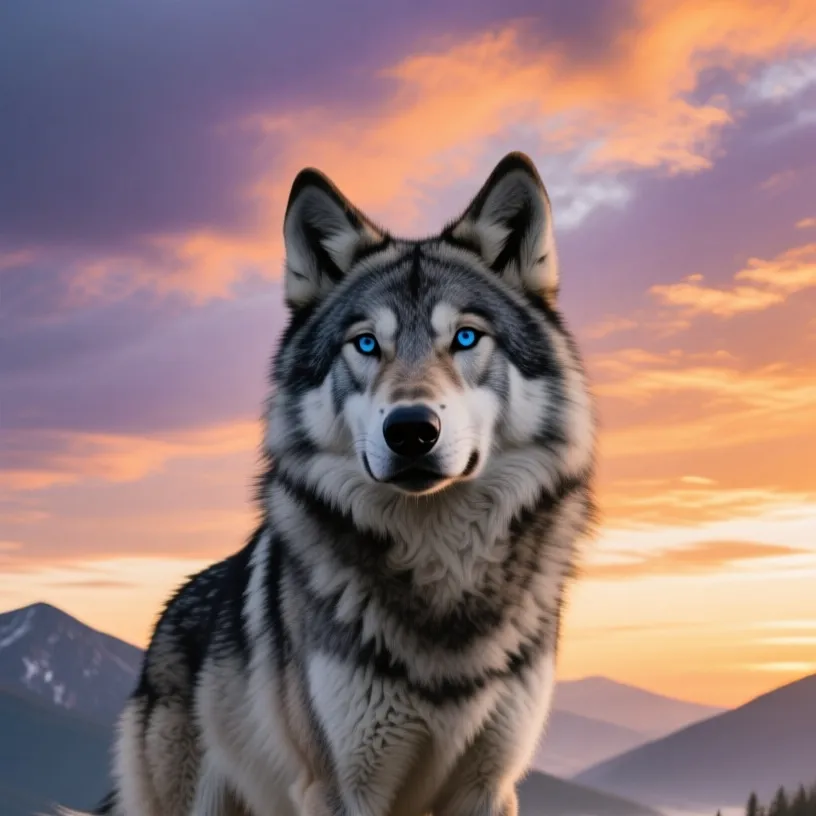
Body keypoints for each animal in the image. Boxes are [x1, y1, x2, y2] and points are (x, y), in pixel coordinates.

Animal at [60, 152, 597, 816]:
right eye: (365, 344)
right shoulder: (344, 787)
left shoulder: (489, 786)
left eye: (466, 337)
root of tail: (167, 619)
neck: (439, 574)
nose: (411, 429)